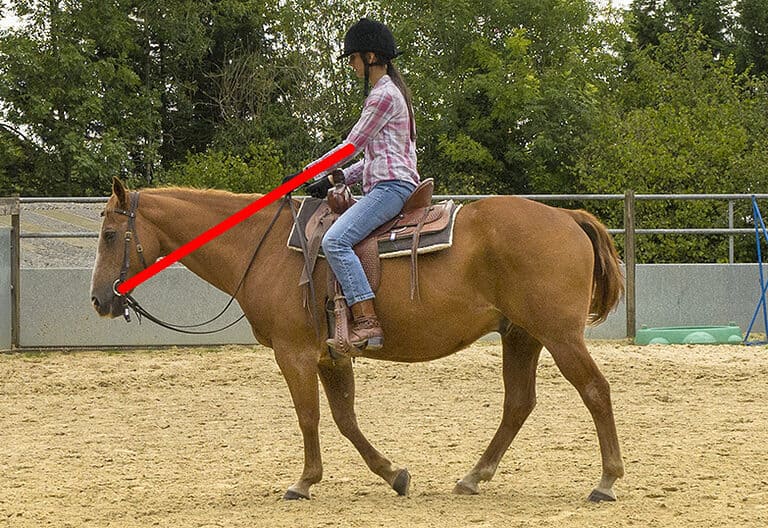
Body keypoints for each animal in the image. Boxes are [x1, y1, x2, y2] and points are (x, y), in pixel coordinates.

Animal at [90, 177, 625, 502]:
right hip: (521, 336)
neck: (263, 248)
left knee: (595, 391)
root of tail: (567, 217)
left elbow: (309, 417)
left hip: (559, 336)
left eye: (111, 235)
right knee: (518, 403)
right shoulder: (332, 355)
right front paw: (394, 474)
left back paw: (607, 480)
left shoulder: (294, 354)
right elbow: (345, 419)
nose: (99, 300)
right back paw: (474, 476)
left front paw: (303, 482)